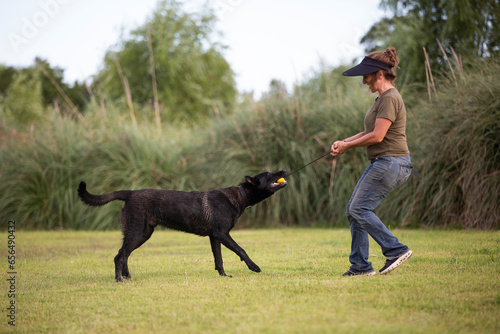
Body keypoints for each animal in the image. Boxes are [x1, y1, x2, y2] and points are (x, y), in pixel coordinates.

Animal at [78, 171, 290, 280]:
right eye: (269, 174)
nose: (285, 171)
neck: (240, 195)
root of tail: (130, 193)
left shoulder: (215, 237)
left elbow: (219, 260)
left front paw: (223, 276)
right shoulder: (223, 234)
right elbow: (241, 250)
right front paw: (254, 267)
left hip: (142, 235)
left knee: (124, 254)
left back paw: (127, 276)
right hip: (137, 233)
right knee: (119, 256)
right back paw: (119, 279)